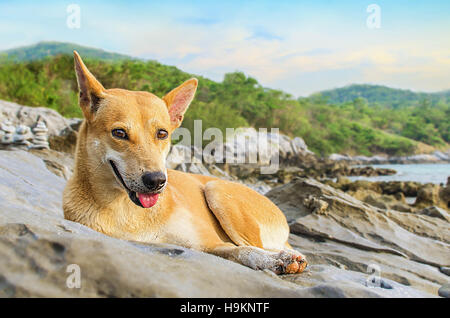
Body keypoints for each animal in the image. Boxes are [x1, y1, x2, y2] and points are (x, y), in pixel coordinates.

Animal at [63, 51, 308, 274]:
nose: (156, 181)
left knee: (256, 244)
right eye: (119, 133)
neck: (126, 209)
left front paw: (275, 260)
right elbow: (241, 251)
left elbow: (244, 250)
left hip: (217, 190)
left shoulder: (211, 243)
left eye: (162, 133)